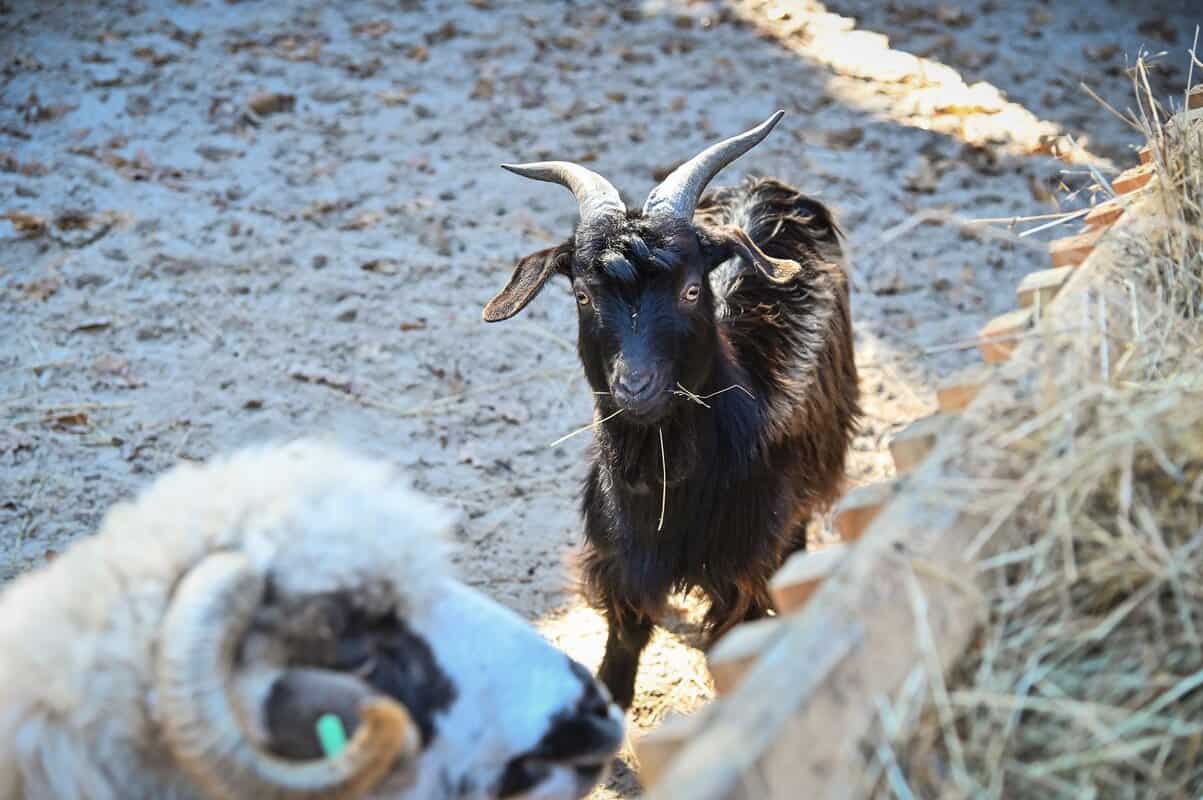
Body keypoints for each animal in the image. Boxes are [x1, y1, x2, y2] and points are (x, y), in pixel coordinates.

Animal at [483, 110, 861, 707]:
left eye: (690, 290)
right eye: (583, 296)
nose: (635, 385)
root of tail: (768, 187)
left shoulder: (742, 569)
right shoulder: (619, 561)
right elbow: (625, 638)